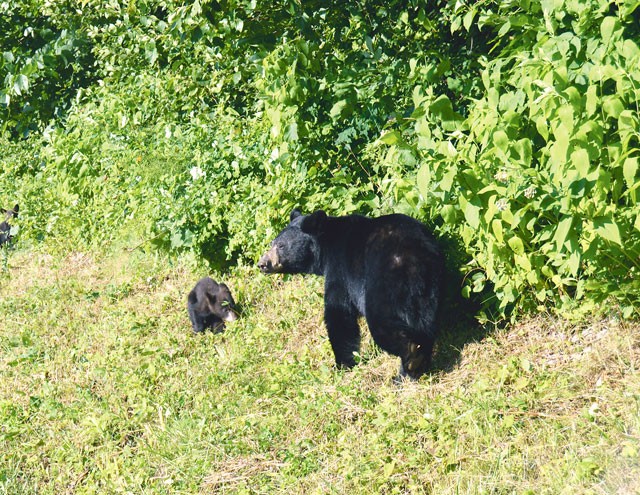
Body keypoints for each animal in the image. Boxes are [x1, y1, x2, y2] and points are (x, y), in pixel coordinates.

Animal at [258, 209, 442, 380]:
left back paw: (410, 358)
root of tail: (414, 259)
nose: (262, 263)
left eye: (280, 245)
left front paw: (342, 364)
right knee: (424, 325)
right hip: (429, 288)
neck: (326, 246)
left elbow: (339, 312)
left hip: (383, 282)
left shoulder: (340, 269)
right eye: (273, 243)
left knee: (383, 322)